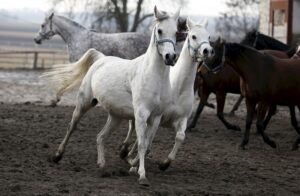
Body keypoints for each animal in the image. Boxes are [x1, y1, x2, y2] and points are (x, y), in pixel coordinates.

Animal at [42, 6, 180, 186]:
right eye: (160, 30)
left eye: (176, 32)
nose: (170, 57)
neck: (154, 77)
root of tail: (101, 58)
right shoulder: (141, 115)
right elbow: (142, 144)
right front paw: (142, 175)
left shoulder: (156, 117)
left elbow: (148, 145)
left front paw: (132, 164)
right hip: (84, 103)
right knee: (72, 126)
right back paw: (57, 156)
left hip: (116, 116)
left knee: (100, 137)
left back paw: (102, 165)